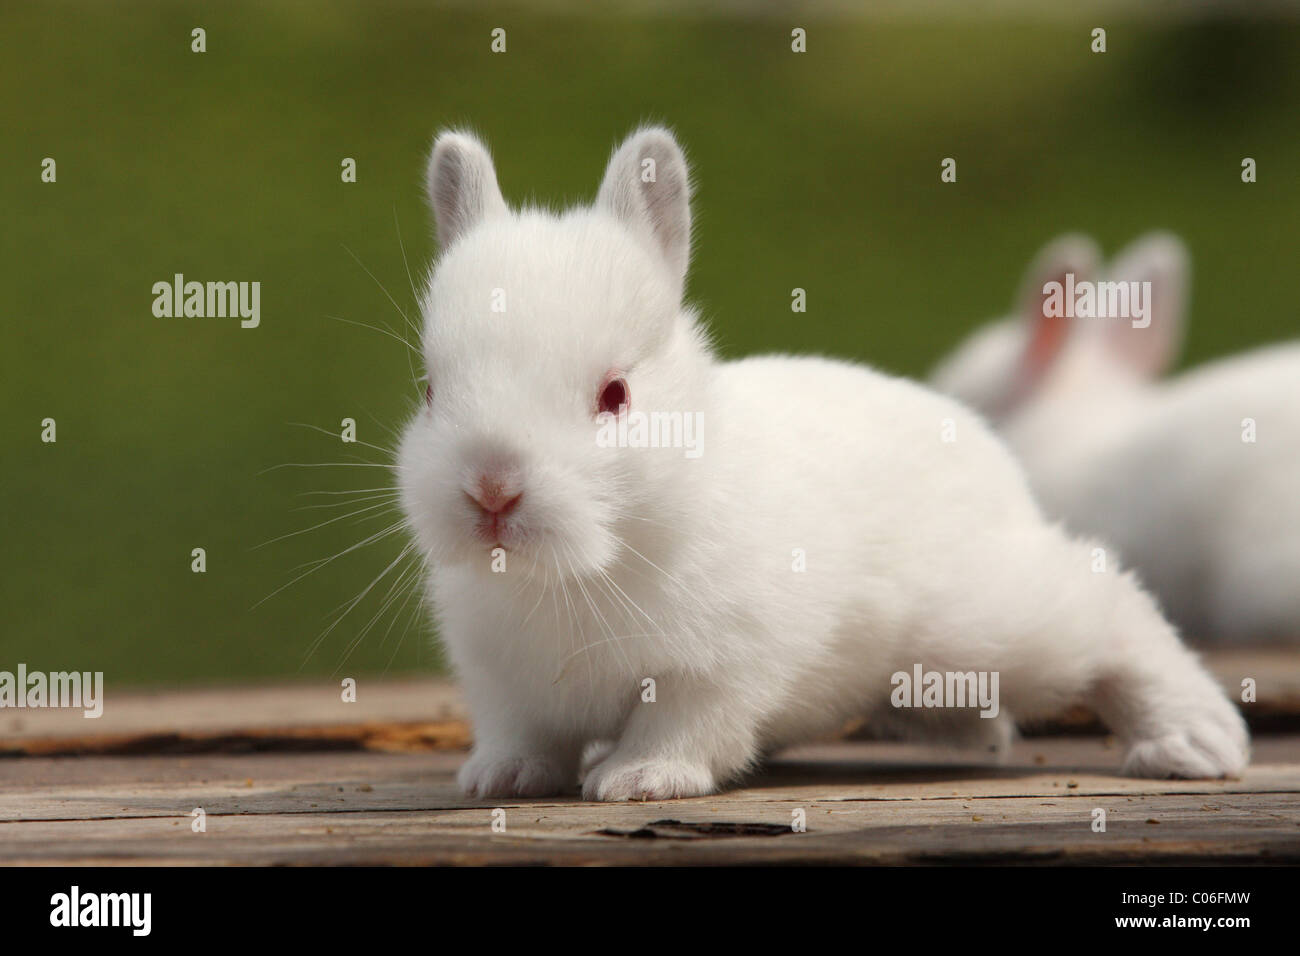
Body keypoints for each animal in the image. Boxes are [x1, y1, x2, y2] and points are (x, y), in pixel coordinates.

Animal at [396, 127, 1249, 801]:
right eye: (430, 389)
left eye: (614, 394)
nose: (491, 491)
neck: (575, 571)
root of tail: (990, 455)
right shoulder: (504, 687)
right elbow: (523, 735)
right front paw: (499, 778)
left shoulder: (716, 665)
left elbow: (684, 727)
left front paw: (639, 779)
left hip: (987, 619)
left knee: (1112, 607)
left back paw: (1195, 741)